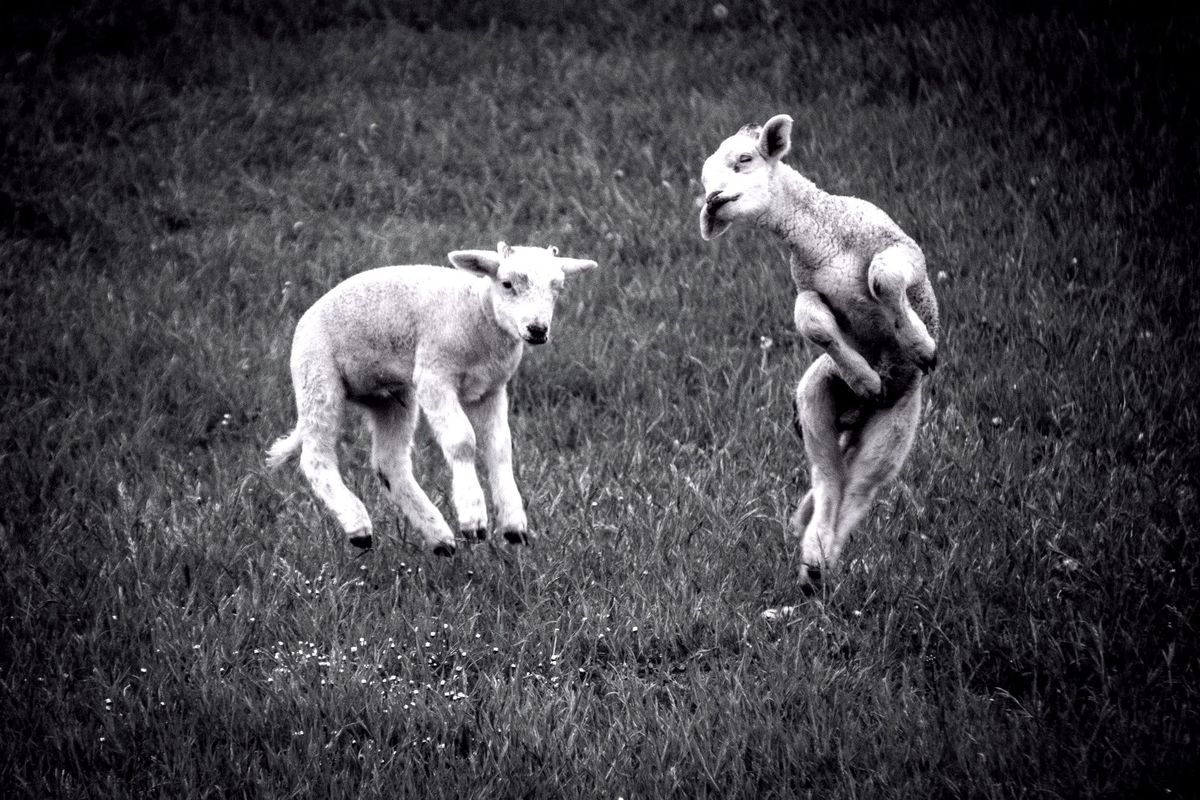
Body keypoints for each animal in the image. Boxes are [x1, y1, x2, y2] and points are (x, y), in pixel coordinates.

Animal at [266, 242, 599, 555]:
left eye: (557, 288)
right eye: (506, 284)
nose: (537, 330)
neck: (479, 313)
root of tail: (306, 318)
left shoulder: (491, 390)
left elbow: (500, 448)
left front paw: (514, 525)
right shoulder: (434, 376)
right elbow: (462, 441)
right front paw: (473, 519)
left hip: (390, 397)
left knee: (390, 463)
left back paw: (439, 537)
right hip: (317, 377)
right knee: (316, 457)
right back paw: (358, 526)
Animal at [699, 113, 940, 592]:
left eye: (744, 159)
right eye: (703, 178)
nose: (712, 202)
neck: (820, 238)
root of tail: (860, 415)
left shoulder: (901, 248)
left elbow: (883, 278)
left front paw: (920, 344)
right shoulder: (808, 285)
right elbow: (809, 319)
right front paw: (864, 376)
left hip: (898, 421)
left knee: (860, 487)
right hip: (816, 399)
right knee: (830, 478)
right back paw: (815, 563)